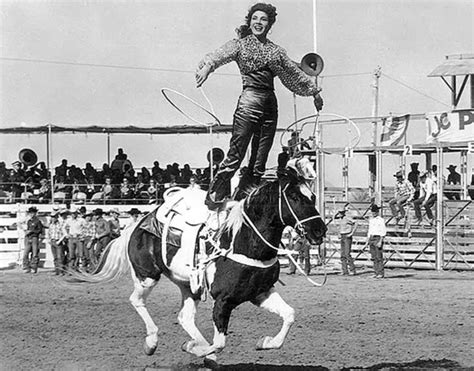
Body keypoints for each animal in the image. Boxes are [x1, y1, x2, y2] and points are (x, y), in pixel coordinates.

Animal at [79, 166, 328, 364]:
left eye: (312, 196)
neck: (243, 241)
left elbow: (289, 315)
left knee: (185, 317)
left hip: (189, 285)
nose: (320, 231)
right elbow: (219, 343)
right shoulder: (224, 301)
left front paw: (264, 342)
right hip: (147, 275)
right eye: (295, 197)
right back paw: (152, 342)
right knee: (136, 300)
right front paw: (194, 348)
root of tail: (139, 222)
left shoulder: (261, 292)